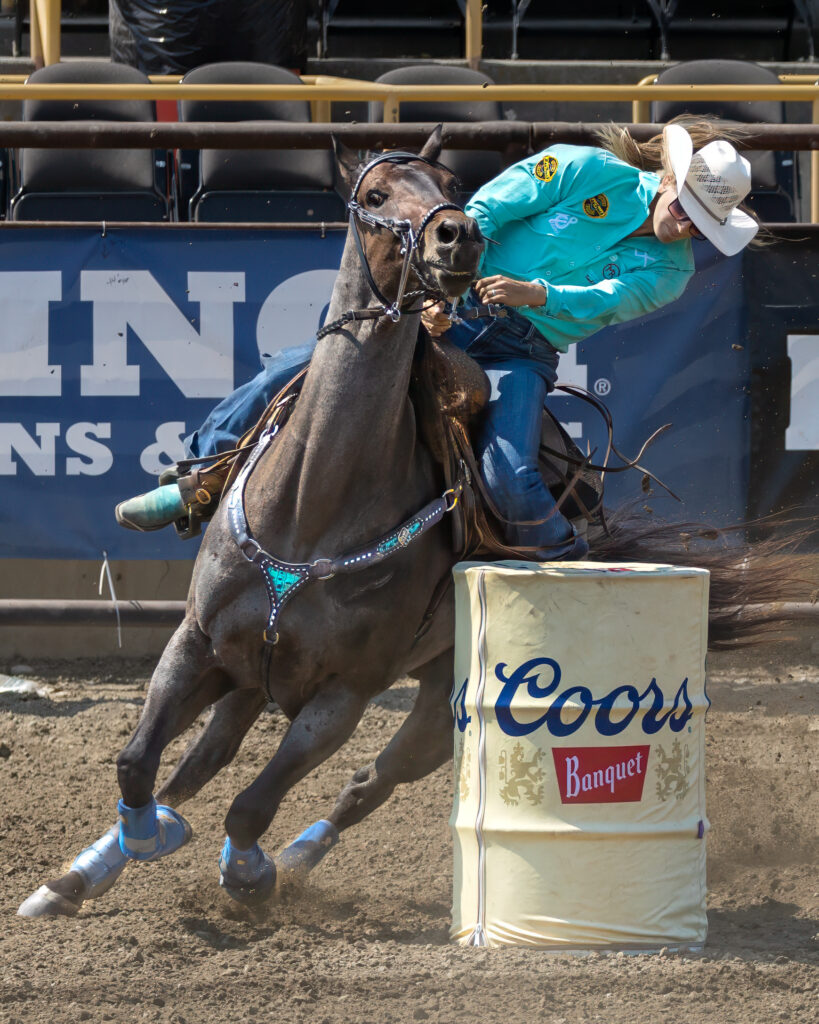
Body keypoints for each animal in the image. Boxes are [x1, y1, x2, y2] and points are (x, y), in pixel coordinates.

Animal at [18, 126, 809, 919]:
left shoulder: (344, 693)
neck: (313, 503)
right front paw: (121, 850)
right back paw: (82, 875)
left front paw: (248, 874)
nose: (460, 235)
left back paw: (295, 859)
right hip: (245, 675)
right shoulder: (197, 643)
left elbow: (252, 805)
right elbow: (136, 762)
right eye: (374, 194)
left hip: (435, 701)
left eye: (449, 183)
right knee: (197, 766)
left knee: (365, 784)